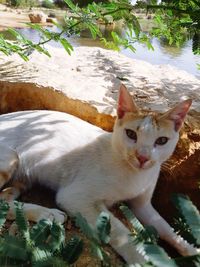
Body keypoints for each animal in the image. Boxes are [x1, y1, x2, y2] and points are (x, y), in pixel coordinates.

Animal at [0, 85, 198, 264]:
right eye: (131, 134)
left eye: (162, 141)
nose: (143, 157)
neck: (136, 175)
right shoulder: (75, 197)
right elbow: (119, 230)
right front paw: (144, 258)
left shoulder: (143, 205)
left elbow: (166, 228)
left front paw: (191, 250)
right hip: (12, 157)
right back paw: (48, 213)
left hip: (21, 179)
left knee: (4, 199)